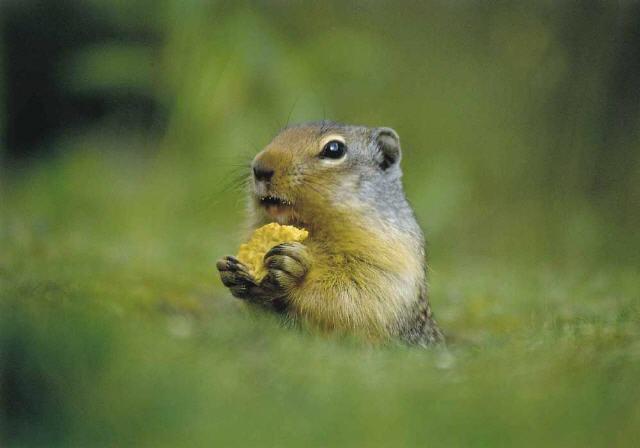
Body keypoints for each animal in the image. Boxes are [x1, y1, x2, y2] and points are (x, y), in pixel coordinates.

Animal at [218, 121, 442, 346]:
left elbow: (353, 297)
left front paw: (293, 267)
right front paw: (231, 271)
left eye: (334, 149)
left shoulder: (387, 258)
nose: (260, 168)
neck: (310, 228)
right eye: (279, 134)